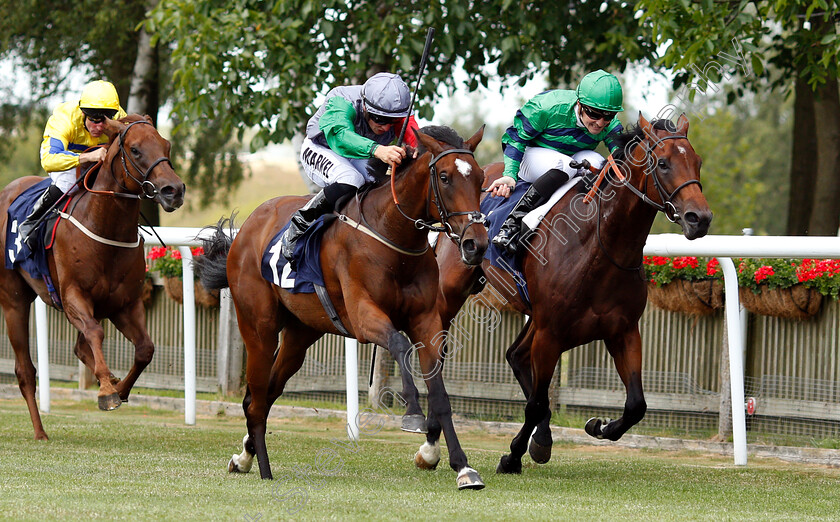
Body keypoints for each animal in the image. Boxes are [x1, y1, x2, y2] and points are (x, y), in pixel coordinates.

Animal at [0, 116, 185, 436]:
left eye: (167, 145)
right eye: (135, 150)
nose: (173, 190)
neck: (105, 228)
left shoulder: (125, 304)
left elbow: (145, 349)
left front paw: (119, 387)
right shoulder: (73, 296)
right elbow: (96, 333)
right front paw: (108, 391)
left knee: (79, 346)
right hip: (14, 300)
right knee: (25, 371)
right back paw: (40, 432)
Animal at [196, 125, 488, 488]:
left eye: (480, 178)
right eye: (445, 177)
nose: (476, 244)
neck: (392, 234)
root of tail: (247, 227)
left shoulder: (427, 320)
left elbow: (441, 393)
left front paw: (460, 465)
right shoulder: (365, 318)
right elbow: (399, 344)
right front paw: (412, 414)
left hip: (300, 335)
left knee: (265, 394)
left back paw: (244, 458)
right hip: (258, 329)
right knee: (256, 400)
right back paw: (263, 468)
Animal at [436, 112, 712, 472]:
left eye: (698, 162)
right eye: (663, 163)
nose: (700, 219)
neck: (599, 244)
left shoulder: (622, 331)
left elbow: (636, 404)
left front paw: (598, 426)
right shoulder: (551, 333)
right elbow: (537, 403)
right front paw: (511, 456)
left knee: (516, 355)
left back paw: (542, 438)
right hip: (453, 291)